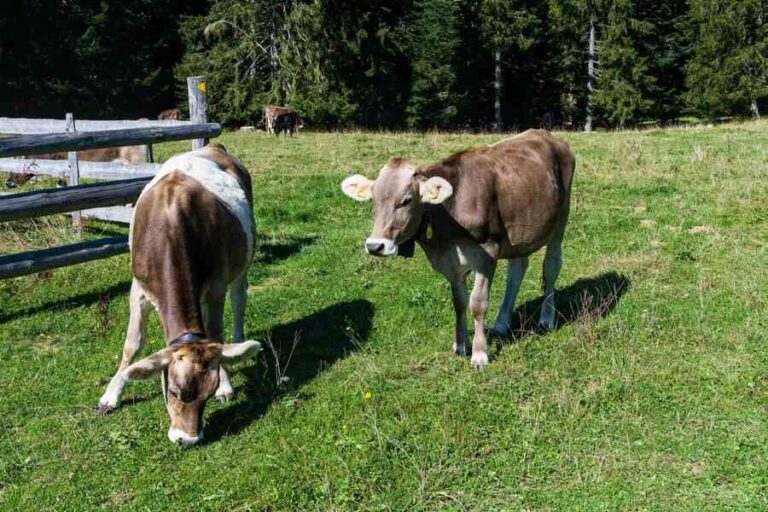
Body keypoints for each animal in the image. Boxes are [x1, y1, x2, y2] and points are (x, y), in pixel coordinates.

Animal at [97, 143, 261, 445]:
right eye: (173, 390)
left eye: (208, 394)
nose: (188, 439)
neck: (171, 228)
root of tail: (213, 146)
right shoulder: (138, 289)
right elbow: (132, 345)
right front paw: (111, 394)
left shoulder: (216, 286)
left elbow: (216, 334)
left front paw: (226, 383)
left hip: (243, 260)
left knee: (239, 300)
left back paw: (239, 341)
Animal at [341, 130, 575, 370]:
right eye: (374, 200)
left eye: (406, 200)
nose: (375, 245)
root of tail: (545, 134)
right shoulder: (450, 263)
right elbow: (459, 303)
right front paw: (461, 344)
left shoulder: (487, 254)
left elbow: (478, 304)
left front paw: (480, 354)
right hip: (519, 231)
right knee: (516, 271)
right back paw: (501, 323)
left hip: (561, 215)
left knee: (552, 265)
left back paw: (547, 318)